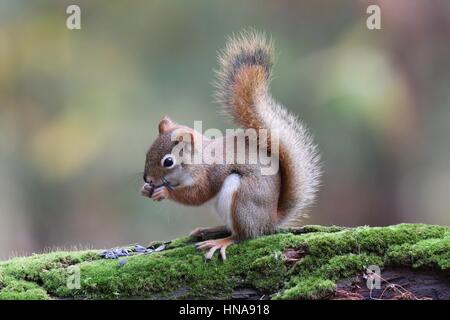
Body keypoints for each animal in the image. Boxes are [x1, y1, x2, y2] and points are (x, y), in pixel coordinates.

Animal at [141, 30, 320, 260]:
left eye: (168, 161)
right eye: (147, 152)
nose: (147, 179)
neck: (197, 161)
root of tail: (270, 220)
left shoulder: (210, 173)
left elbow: (198, 195)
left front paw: (164, 193)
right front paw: (146, 190)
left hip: (241, 200)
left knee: (242, 235)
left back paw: (220, 242)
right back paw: (209, 230)